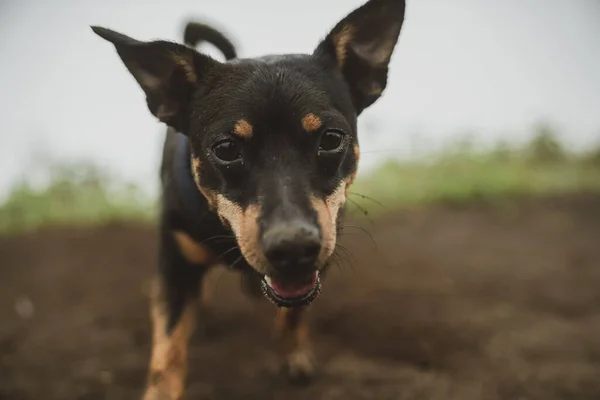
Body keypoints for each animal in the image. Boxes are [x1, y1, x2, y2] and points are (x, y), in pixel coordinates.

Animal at [91, 0, 406, 396]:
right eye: (226, 149)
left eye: (332, 139)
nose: (293, 248)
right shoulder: (176, 267)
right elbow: (168, 350)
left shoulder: (322, 249)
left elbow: (293, 314)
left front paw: (293, 355)